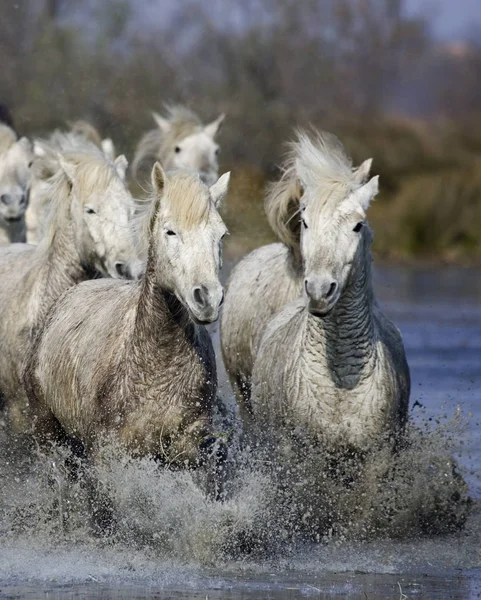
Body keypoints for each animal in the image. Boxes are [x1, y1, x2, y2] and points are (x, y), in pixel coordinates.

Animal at [24, 163, 231, 492]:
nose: (207, 298)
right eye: (170, 231)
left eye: (221, 234)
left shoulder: (189, 453)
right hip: (47, 435)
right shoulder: (107, 457)